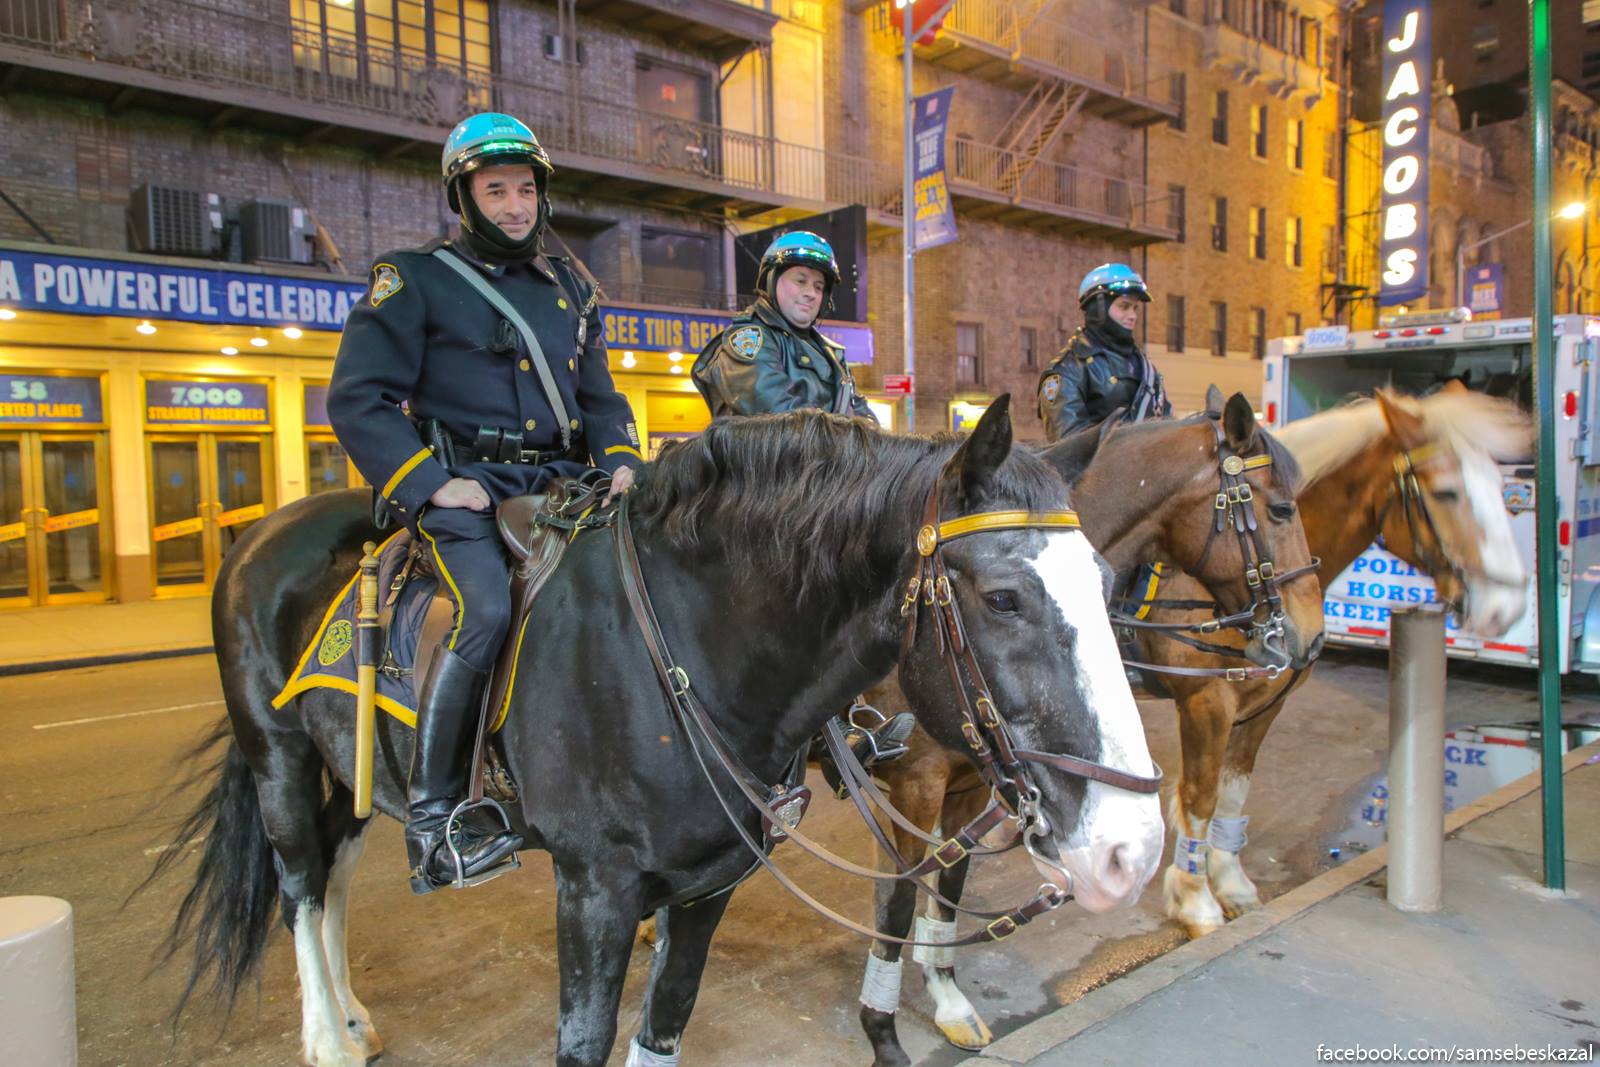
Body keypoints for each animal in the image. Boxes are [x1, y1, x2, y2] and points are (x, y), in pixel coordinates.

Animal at [844, 383, 1529, 1067]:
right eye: (1447, 492)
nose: (1508, 604)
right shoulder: (1201, 704)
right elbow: (1196, 796)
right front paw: (1197, 900)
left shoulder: (1259, 704)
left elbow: (1231, 792)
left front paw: (1231, 881)